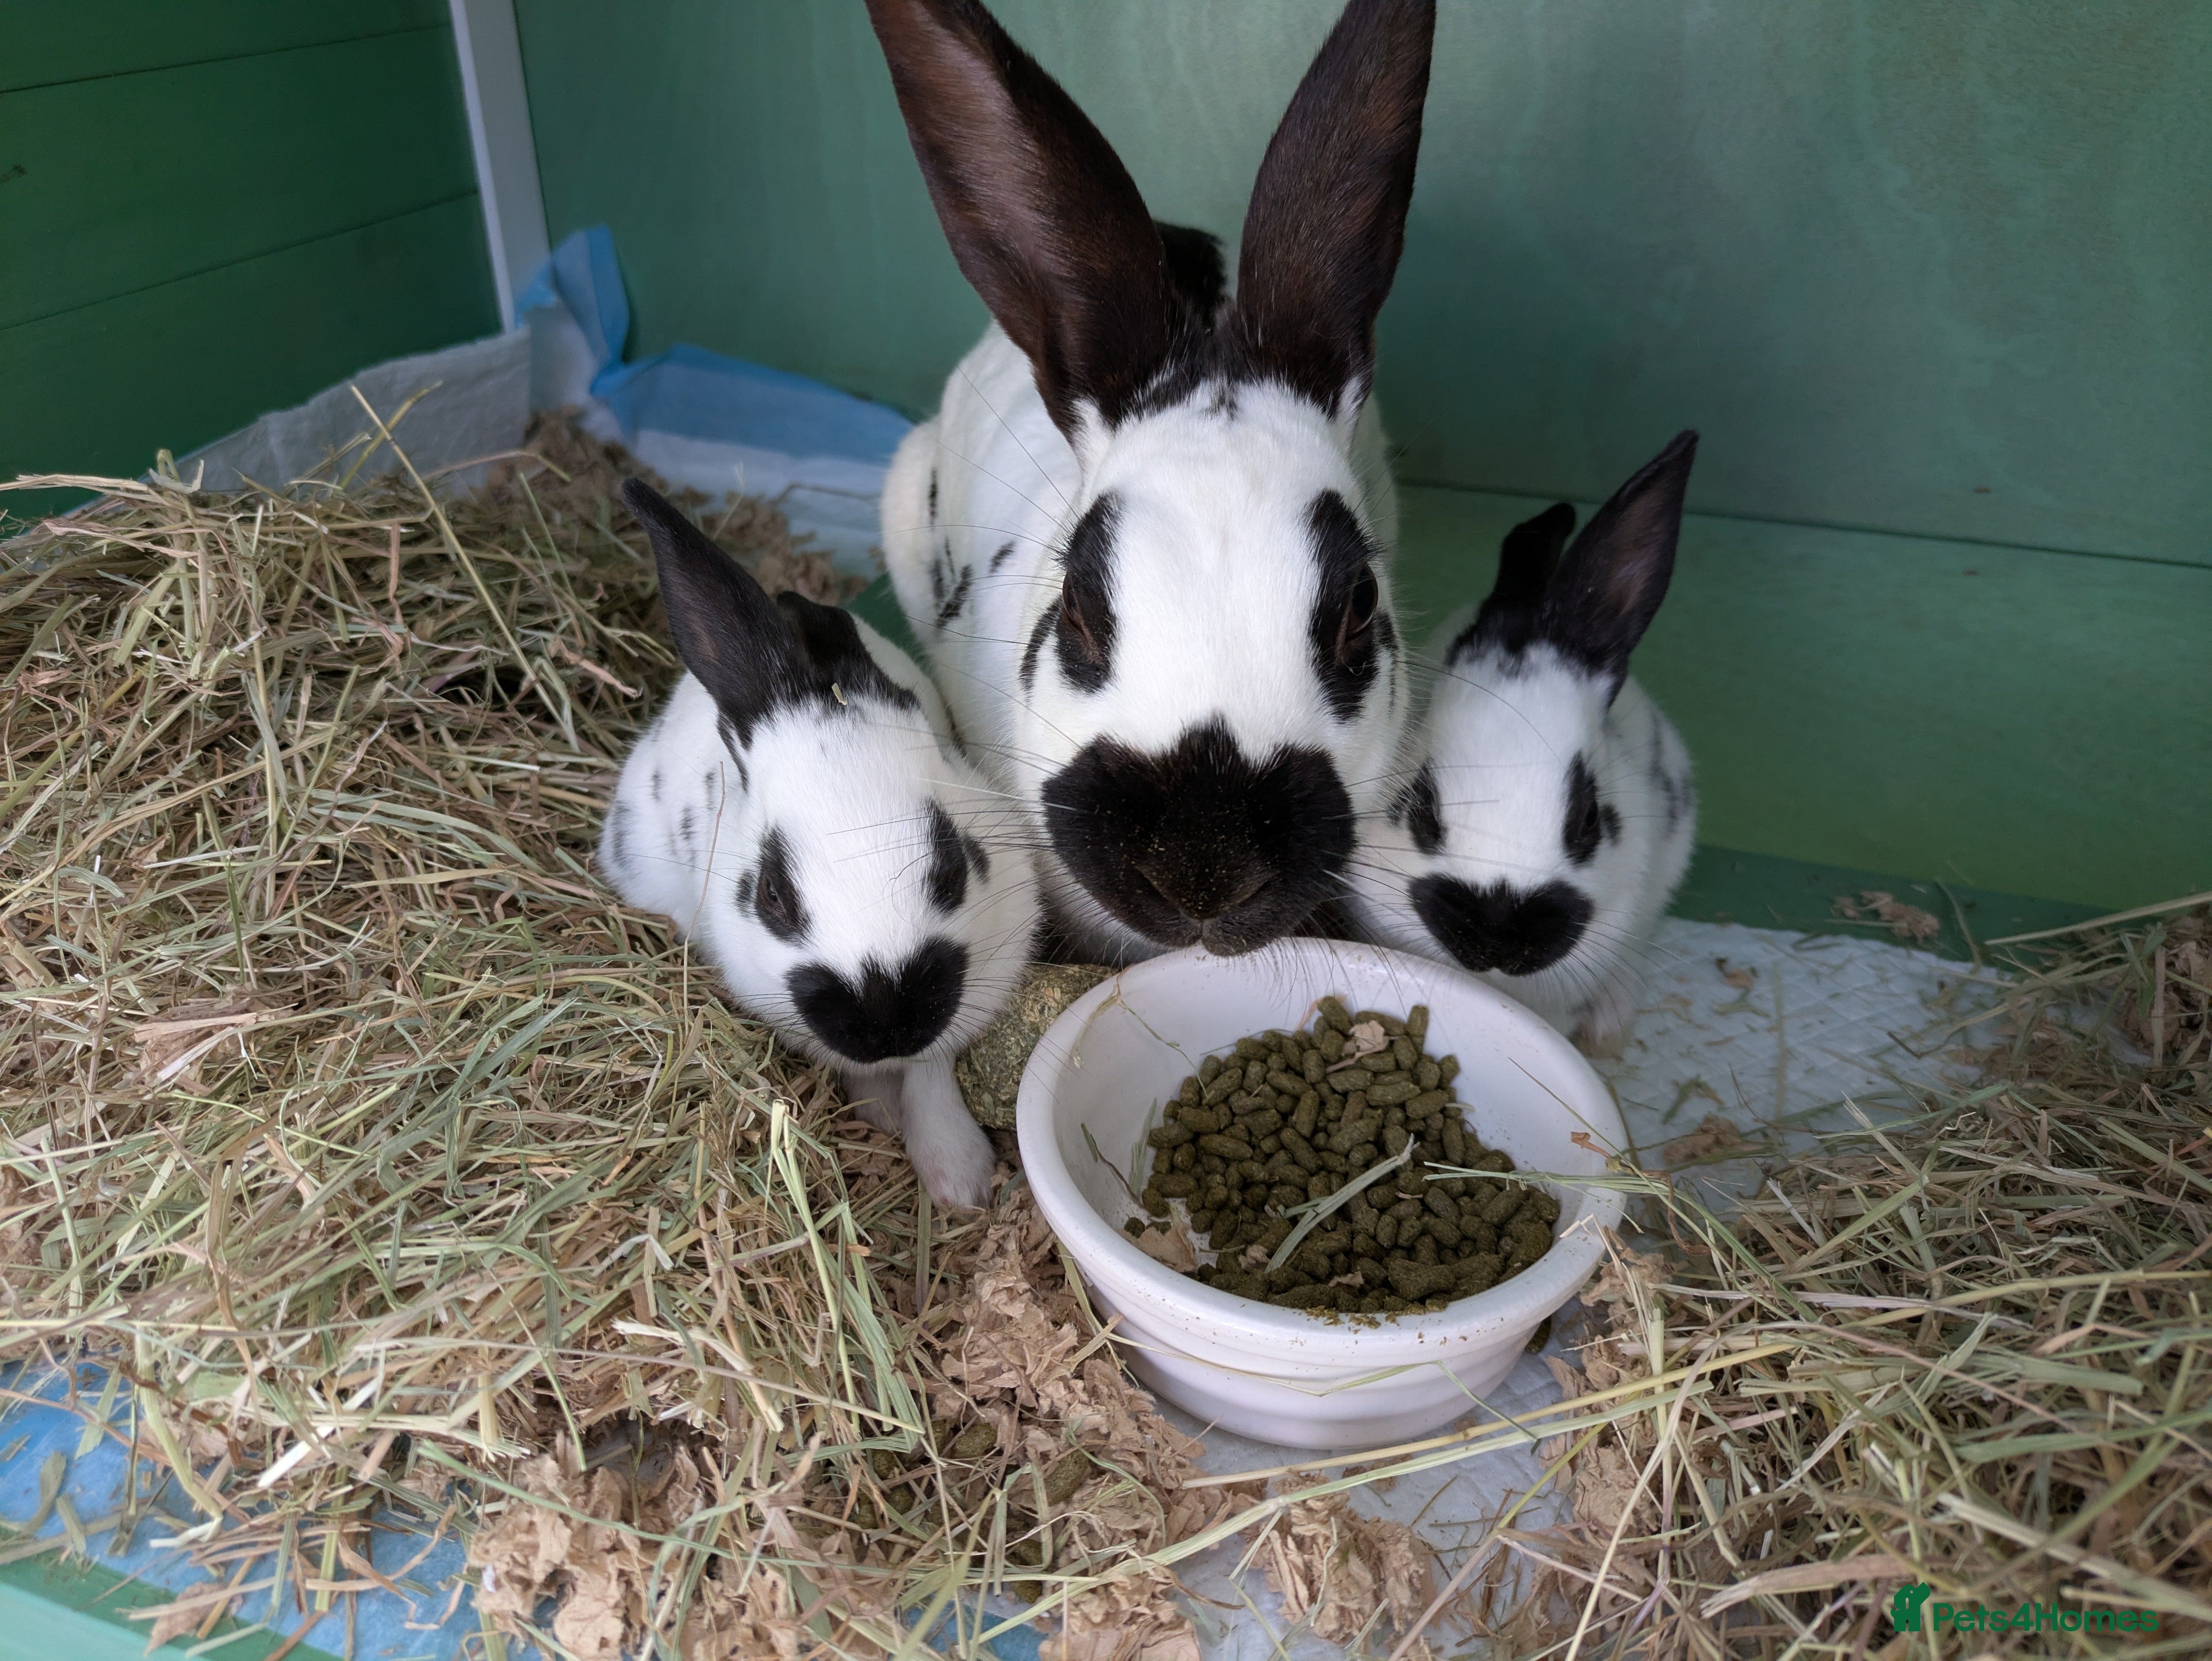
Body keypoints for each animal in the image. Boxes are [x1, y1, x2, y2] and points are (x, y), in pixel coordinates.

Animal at [599, 480, 1041, 1207]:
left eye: (952, 864)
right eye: (773, 895)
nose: (886, 1020)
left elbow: (932, 1070)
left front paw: (958, 1181)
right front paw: (881, 1113)